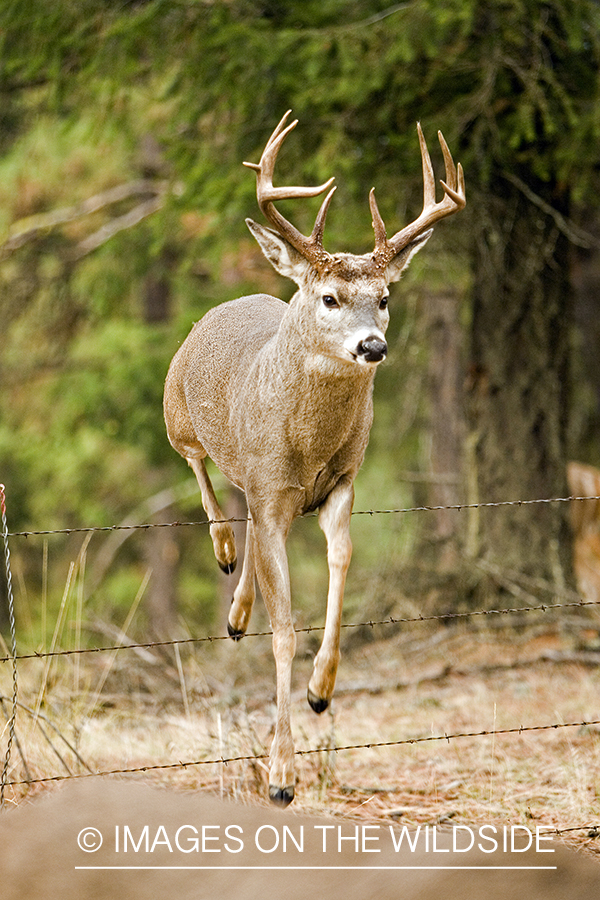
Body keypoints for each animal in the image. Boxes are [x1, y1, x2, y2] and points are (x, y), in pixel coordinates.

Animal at [163, 111, 465, 806]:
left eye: (384, 297)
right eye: (329, 298)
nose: (374, 346)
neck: (307, 445)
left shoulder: (341, 483)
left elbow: (342, 561)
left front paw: (321, 691)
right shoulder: (274, 494)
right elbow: (284, 629)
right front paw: (280, 776)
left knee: (240, 507)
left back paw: (236, 612)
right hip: (175, 414)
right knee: (201, 471)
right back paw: (222, 552)